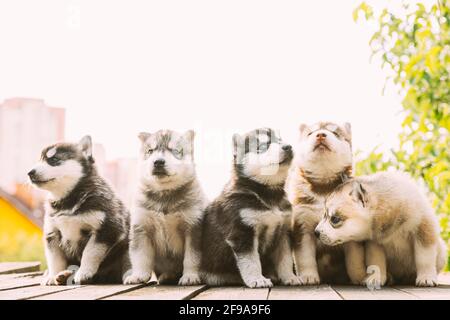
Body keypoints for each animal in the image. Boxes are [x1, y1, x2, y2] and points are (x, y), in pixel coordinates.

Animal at [28, 135, 130, 284]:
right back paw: (62, 275)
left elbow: (90, 252)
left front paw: (83, 272)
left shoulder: (108, 228)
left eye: (53, 160)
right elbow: (55, 260)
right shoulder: (52, 233)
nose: (30, 173)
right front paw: (53, 275)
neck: (67, 200)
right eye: (39, 160)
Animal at [123, 130, 207, 284]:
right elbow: (140, 256)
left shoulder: (193, 228)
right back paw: (168, 275)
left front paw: (190, 276)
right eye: (150, 151)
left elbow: (192, 257)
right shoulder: (141, 228)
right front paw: (138, 275)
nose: (158, 162)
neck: (164, 194)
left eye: (175, 151)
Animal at [200, 127, 298, 288]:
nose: (288, 146)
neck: (266, 193)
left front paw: (290, 277)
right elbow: (252, 261)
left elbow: (286, 259)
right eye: (263, 146)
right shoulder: (242, 232)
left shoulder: (283, 232)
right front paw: (257, 279)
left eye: (280, 140)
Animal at [288, 122, 366, 284]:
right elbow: (305, 256)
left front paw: (360, 276)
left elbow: (355, 258)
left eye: (335, 133)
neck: (324, 187)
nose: (320, 135)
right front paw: (308, 276)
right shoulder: (302, 224)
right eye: (310, 133)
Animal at [314, 172, 448, 288]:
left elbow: (424, 257)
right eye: (324, 214)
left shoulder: (424, 228)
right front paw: (376, 278)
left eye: (335, 219)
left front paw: (426, 277)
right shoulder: (375, 242)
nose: (316, 232)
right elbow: (376, 259)